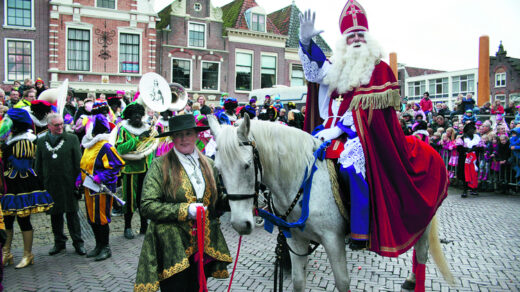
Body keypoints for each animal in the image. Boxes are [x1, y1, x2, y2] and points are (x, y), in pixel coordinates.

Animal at [209, 115, 452, 290]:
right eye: (218, 169)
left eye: (247, 165)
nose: (241, 224)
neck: (303, 181)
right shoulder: (296, 239)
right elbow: (298, 282)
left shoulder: (333, 241)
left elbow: (343, 282)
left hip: (424, 219)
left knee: (422, 253)